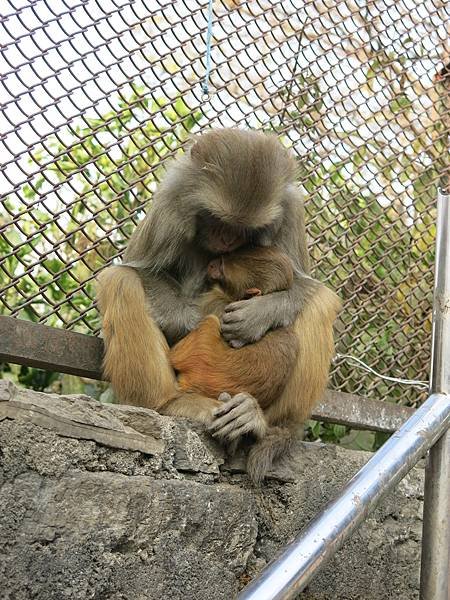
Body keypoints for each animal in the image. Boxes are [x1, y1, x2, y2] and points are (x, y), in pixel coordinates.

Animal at [96, 129, 340, 480]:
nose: (226, 239)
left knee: (320, 303)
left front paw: (255, 316)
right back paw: (168, 404)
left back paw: (267, 423)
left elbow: (305, 284)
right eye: (217, 219)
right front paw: (202, 318)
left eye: (244, 230)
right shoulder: (173, 198)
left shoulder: (291, 209)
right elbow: (141, 270)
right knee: (122, 282)